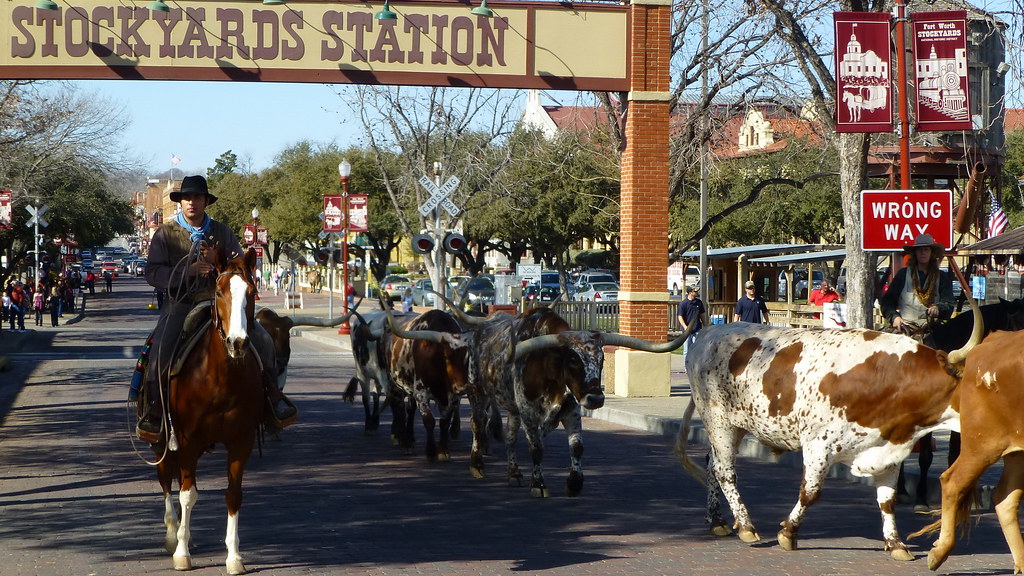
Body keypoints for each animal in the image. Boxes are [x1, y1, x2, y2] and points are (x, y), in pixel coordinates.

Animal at [153, 247, 264, 573]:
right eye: (218, 291)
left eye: (251, 291)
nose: (238, 342)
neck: (220, 378)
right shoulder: (187, 440)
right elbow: (188, 495)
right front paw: (182, 552)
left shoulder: (241, 441)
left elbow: (233, 495)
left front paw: (234, 557)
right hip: (161, 440)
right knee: (166, 479)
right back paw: (172, 533)